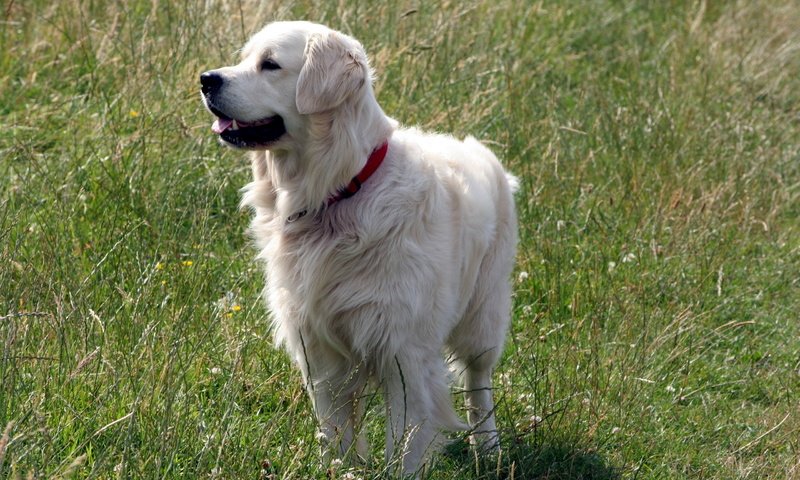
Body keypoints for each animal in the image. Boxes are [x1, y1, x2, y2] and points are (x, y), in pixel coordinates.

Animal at [202, 21, 520, 476]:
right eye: (244, 59)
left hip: (483, 317)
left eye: (270, 64)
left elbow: (406, 437)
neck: (337, 193)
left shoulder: (405, 351)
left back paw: (489, 448)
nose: (206, 80)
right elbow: (335, 426)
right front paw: (339, 467)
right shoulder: (318, 346)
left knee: (480, 383)